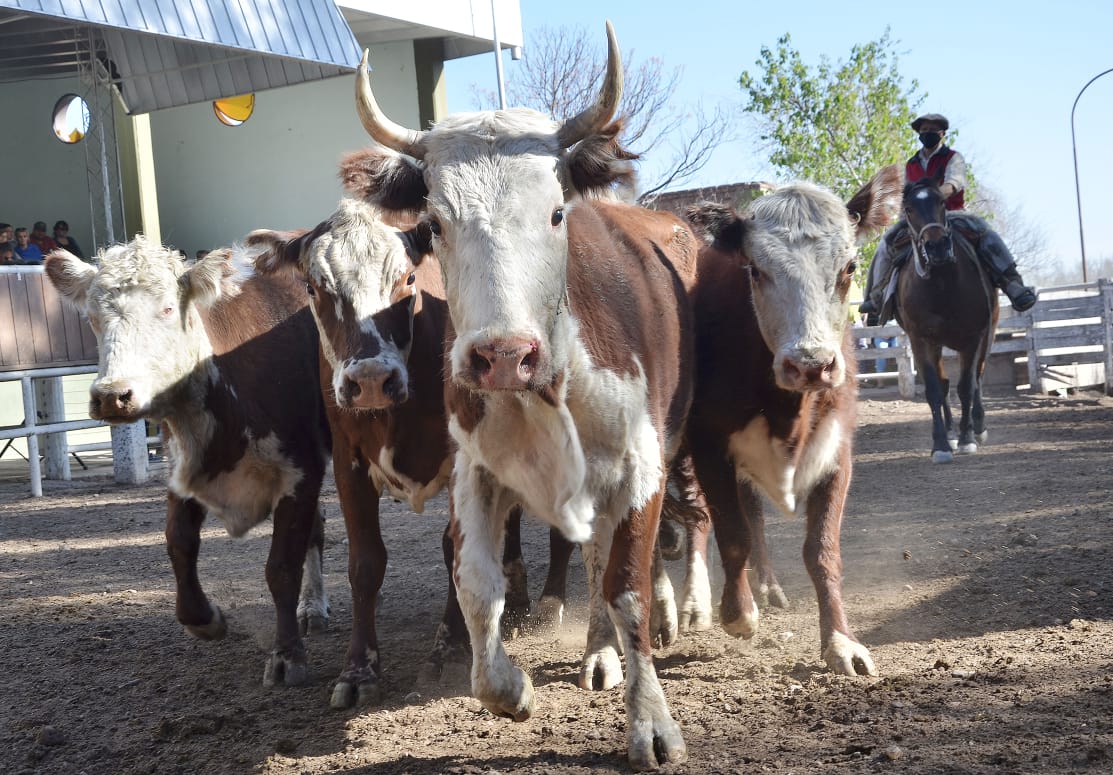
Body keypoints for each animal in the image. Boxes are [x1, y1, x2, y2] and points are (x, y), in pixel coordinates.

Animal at [893, 176, 999, 463]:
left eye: (941, 202)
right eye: (908, 209)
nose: (937, 246)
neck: (941, 287)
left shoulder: (973, 338)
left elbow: (967, 386)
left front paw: (967, 438)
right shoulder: (920, 340)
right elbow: (934, 390)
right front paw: (941, 443)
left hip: (989, 334)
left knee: (978, 378)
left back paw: (978, 427)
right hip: (936, 344)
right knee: (943, 385)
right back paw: (950, 433)